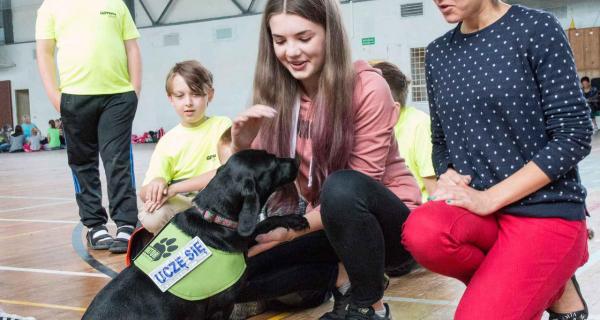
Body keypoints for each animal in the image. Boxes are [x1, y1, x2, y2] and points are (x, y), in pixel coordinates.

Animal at [84, 151, 310, 320]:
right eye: (273, 162)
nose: (297, 159)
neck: (214, 217)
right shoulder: (221, 307)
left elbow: (264, 223)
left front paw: (293, 219)